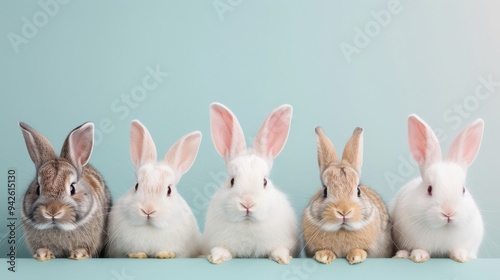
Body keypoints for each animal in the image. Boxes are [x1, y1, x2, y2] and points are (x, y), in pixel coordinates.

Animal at [201, 101, 298, 264]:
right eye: (232, 181)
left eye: (264, 182)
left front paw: (283, 258)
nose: (247, 203)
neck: (248, 223)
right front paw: (217, 256)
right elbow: (222, 249)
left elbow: (279, 249)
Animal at [300, 127, 394, 264]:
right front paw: (324, 256)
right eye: (325, 191)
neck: (342, 229)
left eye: (358, 191)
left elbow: (361, 250)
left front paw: (356, 257)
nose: (344, 211)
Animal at [390, 114, 484, 262]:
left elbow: (458, 249)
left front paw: (461, 256)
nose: (448, 213)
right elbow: (419, 248)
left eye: (463, 190)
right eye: (429, 189)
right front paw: (419, 256)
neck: (444, 228)